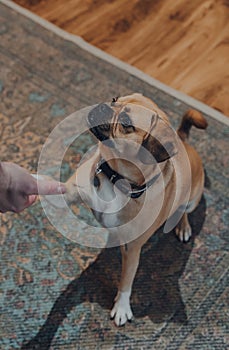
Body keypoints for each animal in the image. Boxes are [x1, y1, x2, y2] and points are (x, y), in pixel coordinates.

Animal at [63, 92, 207, 326]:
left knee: (184, 211)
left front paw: (122, 307)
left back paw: (183, 226)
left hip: (192, 199)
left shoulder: (132, 250)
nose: (103, 106)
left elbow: (126, 281)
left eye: (126, 123)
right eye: (115, 99)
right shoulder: (69, 191)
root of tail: (183, 140)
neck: (115, 176)